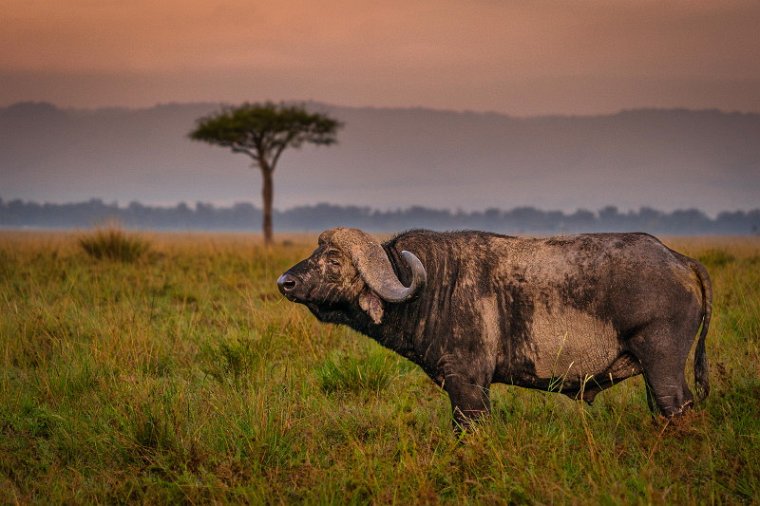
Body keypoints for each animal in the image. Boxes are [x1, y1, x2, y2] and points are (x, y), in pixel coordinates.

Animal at [280, 228, 712, 430]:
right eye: (316, 253)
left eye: (334, 261)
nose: (286, 282)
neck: (431, 286)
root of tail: (680, 260)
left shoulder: (468, 386)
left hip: (663, 367)